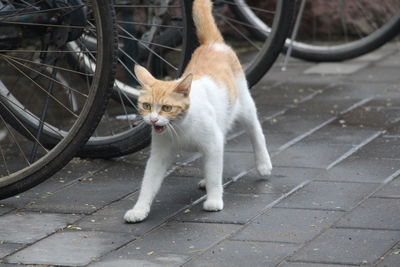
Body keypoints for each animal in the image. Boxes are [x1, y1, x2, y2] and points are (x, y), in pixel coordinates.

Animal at [123, 0, 272, 224]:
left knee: (256, 132)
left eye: (167, 108)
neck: (180, 127)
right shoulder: (159, 154)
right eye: (146, 106)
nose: (153, 120)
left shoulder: (212, 143)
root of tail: (212, 43)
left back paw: (263, 164)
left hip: (245, 105)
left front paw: (214, 199)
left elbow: (214, 172)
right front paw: (139, 209)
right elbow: (148, 183)